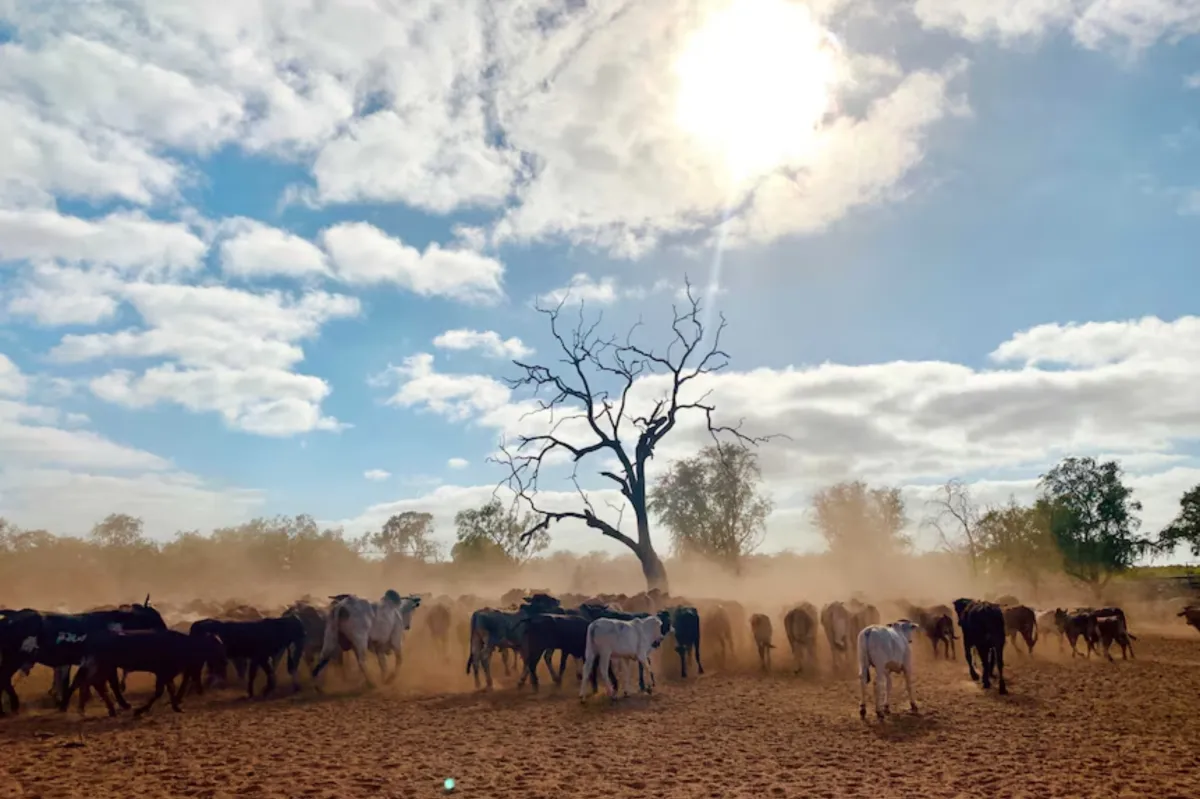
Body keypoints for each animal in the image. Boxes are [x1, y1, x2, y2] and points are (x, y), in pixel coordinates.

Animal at [61, 629, 227, 717]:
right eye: (216, 644)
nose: (224, 656)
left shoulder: (167, 674)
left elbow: (170, 690)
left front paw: (176, 706)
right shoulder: (163, 673)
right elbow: (160, 692)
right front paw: (141, 710)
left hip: (104, 667)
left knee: (94, 683)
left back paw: (109, 709)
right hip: (103, 666)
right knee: (92, 683)